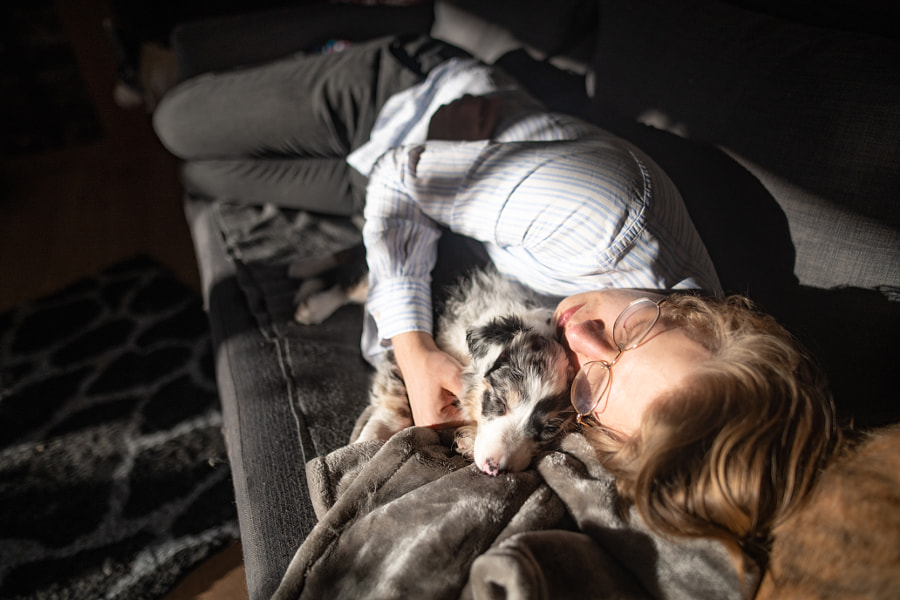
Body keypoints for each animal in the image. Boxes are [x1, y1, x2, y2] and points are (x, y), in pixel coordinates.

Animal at [356, 270, 572, 476]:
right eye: (500, 402)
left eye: (549, 429)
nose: (494, 469)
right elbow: (394, 405)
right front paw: (366, 445)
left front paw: (468, 440)